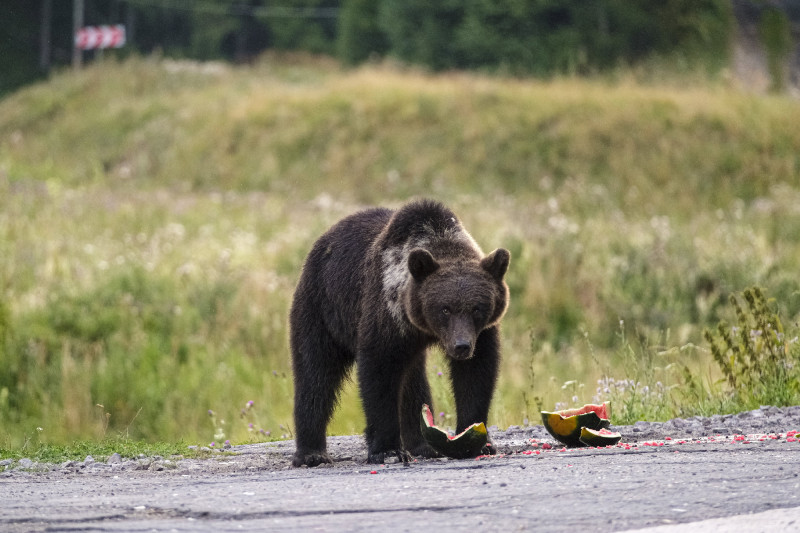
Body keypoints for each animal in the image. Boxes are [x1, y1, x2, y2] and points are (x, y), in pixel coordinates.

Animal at [290, 200, 510, 466]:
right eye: (445, 308)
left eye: (477, 308)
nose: (461, 346)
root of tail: (323, 241)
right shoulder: (387, 314)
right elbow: (379, 372)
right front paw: (387, 450)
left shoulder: (481, 333)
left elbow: (476, 373)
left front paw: (478, 440)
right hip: (321, 309)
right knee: (316, 373)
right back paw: (312, 453)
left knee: (412, 382)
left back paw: (424, 445)